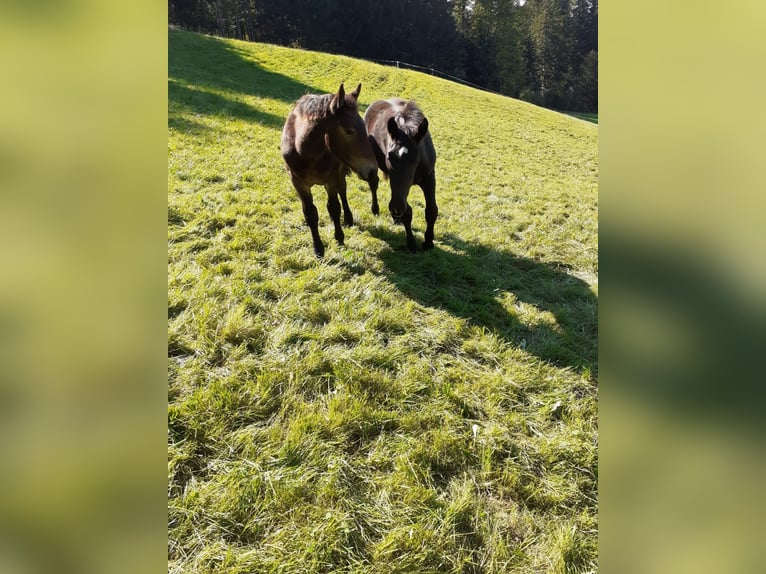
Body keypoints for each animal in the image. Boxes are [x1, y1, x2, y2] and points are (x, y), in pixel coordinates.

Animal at [280, 84, 380, 258]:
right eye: (348, 130)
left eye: (363, 127)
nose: (372, 170)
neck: (304, 150)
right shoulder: (298, 183)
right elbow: (310, 213)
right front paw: (318, 249)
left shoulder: (330, 180)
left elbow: (334, 207)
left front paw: (339, 237)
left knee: (350, 189)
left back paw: (359, 214)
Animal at [364, 98, 438, 252]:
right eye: (389, 157)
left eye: (415, 159)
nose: (396, 209)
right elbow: (407, 212)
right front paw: (411, 243)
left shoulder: (429, 177)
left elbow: (431, 210)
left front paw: (428, 242)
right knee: (373, 183)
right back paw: (376, 209)